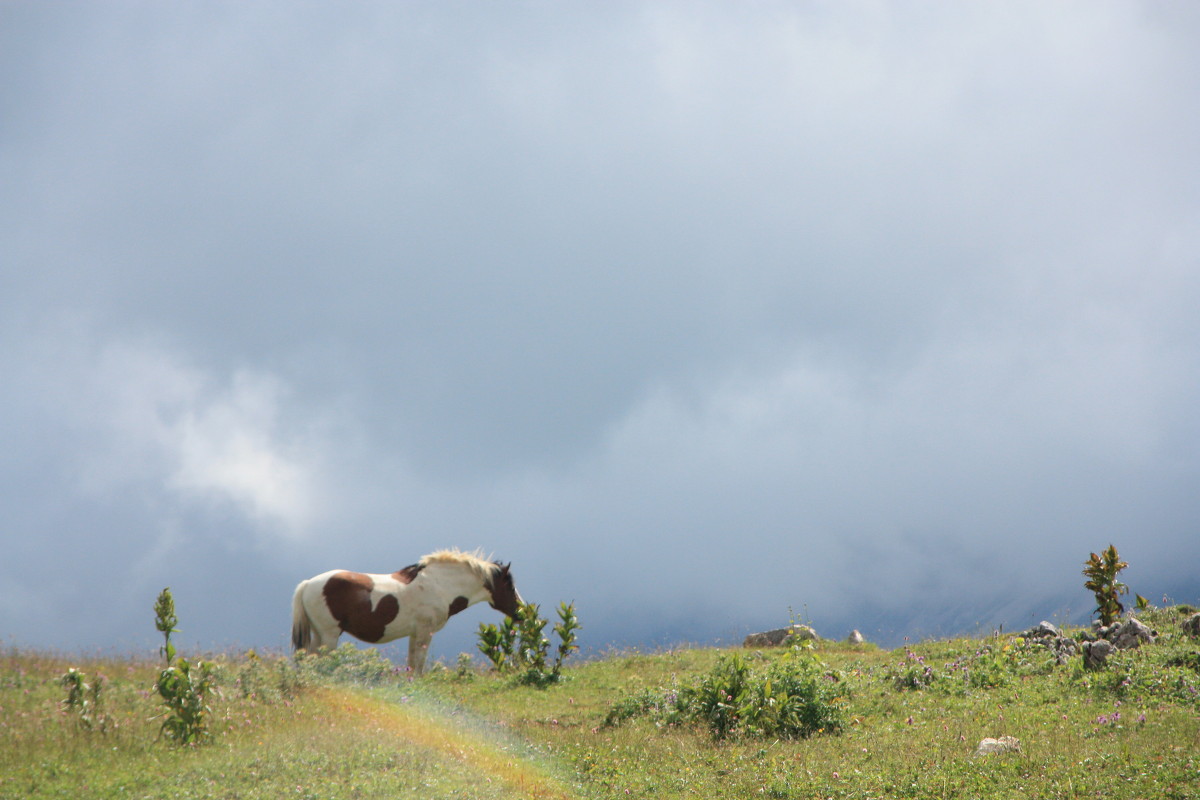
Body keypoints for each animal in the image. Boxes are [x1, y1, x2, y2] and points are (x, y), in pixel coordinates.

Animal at [292, 551, 523, 676]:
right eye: (510, 586)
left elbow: (411, 664)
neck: (439, 585)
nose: (521, 612)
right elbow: (418, 664)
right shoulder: (424, 632)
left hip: (318, 634)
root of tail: (308, 584)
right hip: (329, 635)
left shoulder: (414, 634)